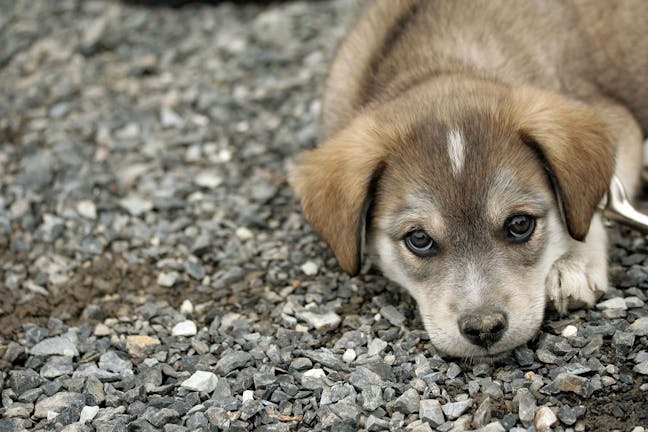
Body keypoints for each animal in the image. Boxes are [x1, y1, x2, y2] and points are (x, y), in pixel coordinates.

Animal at [290, 0, 648, 358]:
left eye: (520, 224)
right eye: (419, 239)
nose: (485, 329)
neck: (440, 62)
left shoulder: (618, 119)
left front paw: (573, 262)